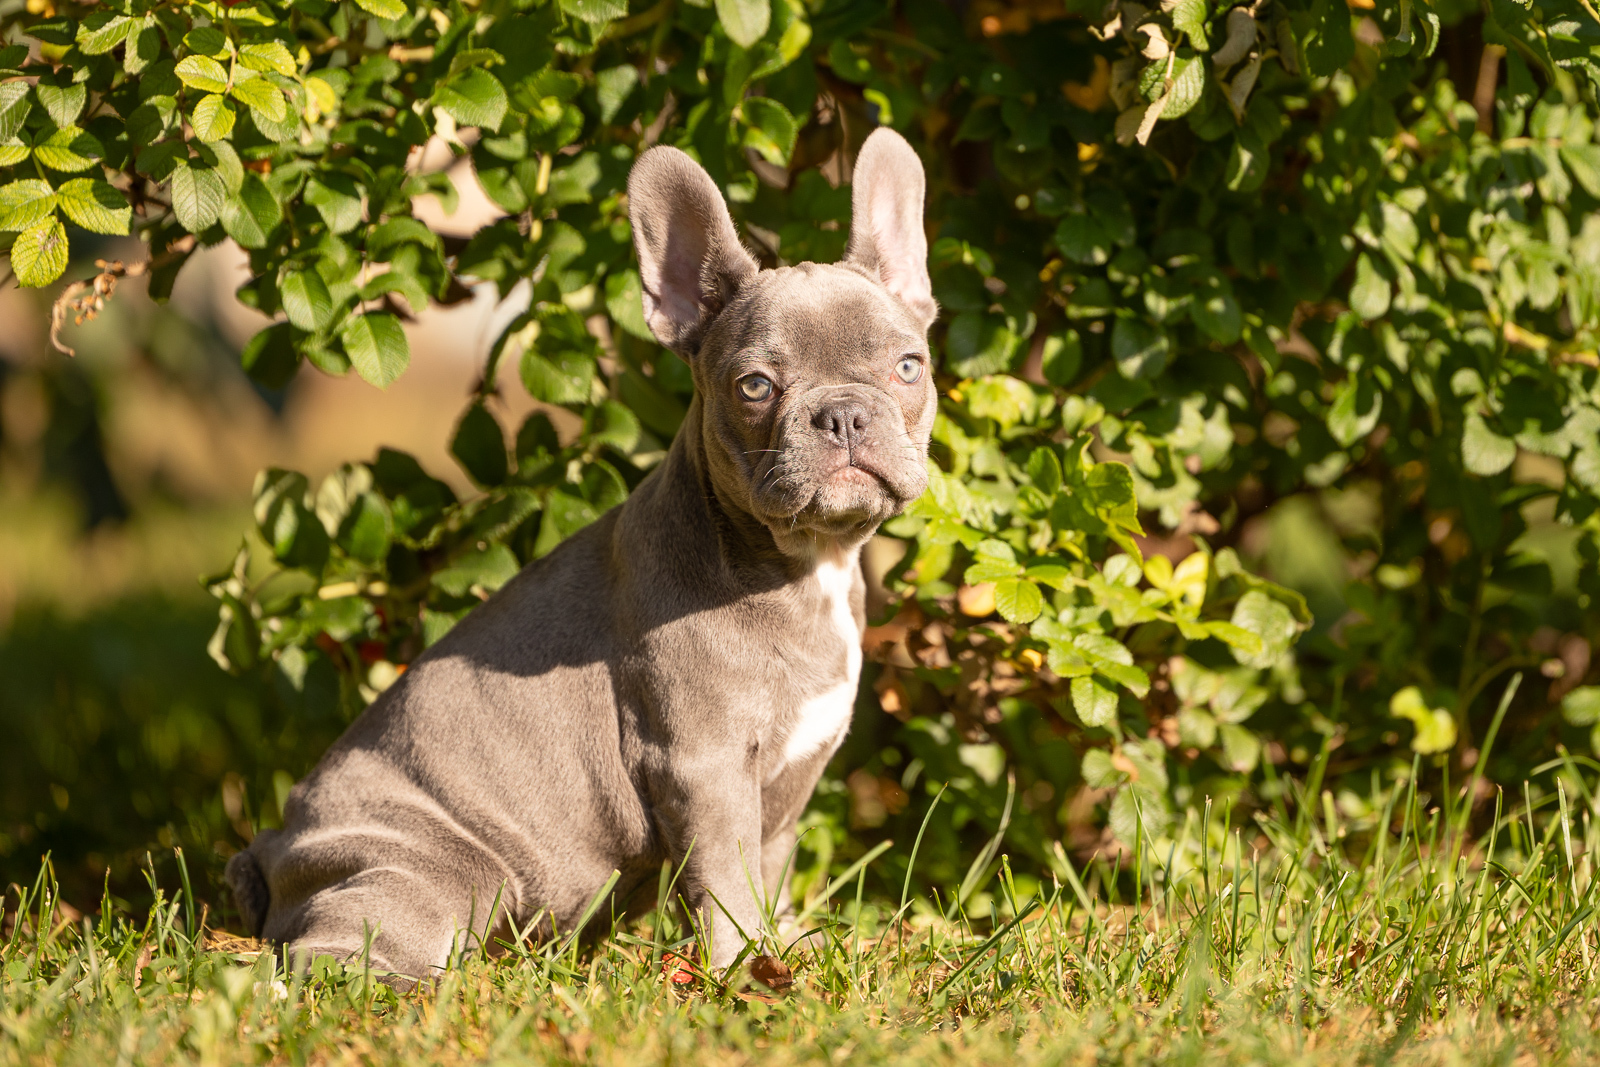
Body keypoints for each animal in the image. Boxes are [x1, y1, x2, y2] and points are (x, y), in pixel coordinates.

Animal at [225, 123, 934, 979]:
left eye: (909, 367)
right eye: (756, 386)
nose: (843, 415)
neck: (802, 563)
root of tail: (270, 851)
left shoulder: (784, 788)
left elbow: (768, 867)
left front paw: (787, 945)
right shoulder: (703, 764)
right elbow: (727, 879)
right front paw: (743, 966)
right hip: (439, 868)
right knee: (332, 958)